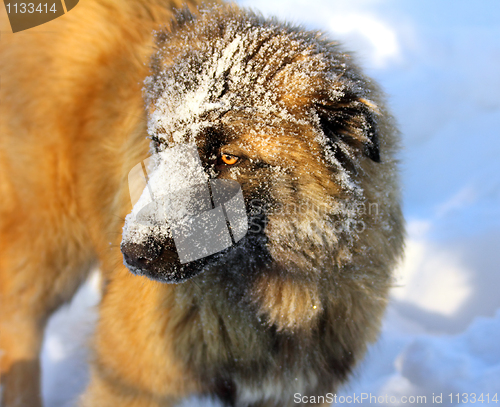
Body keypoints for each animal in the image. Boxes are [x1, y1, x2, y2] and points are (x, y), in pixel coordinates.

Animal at [0, 1, 404, 406]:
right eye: (160, 142)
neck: (269, 294)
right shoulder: (129, 383)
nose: (133, 254)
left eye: (229, 158)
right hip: (48, 252)